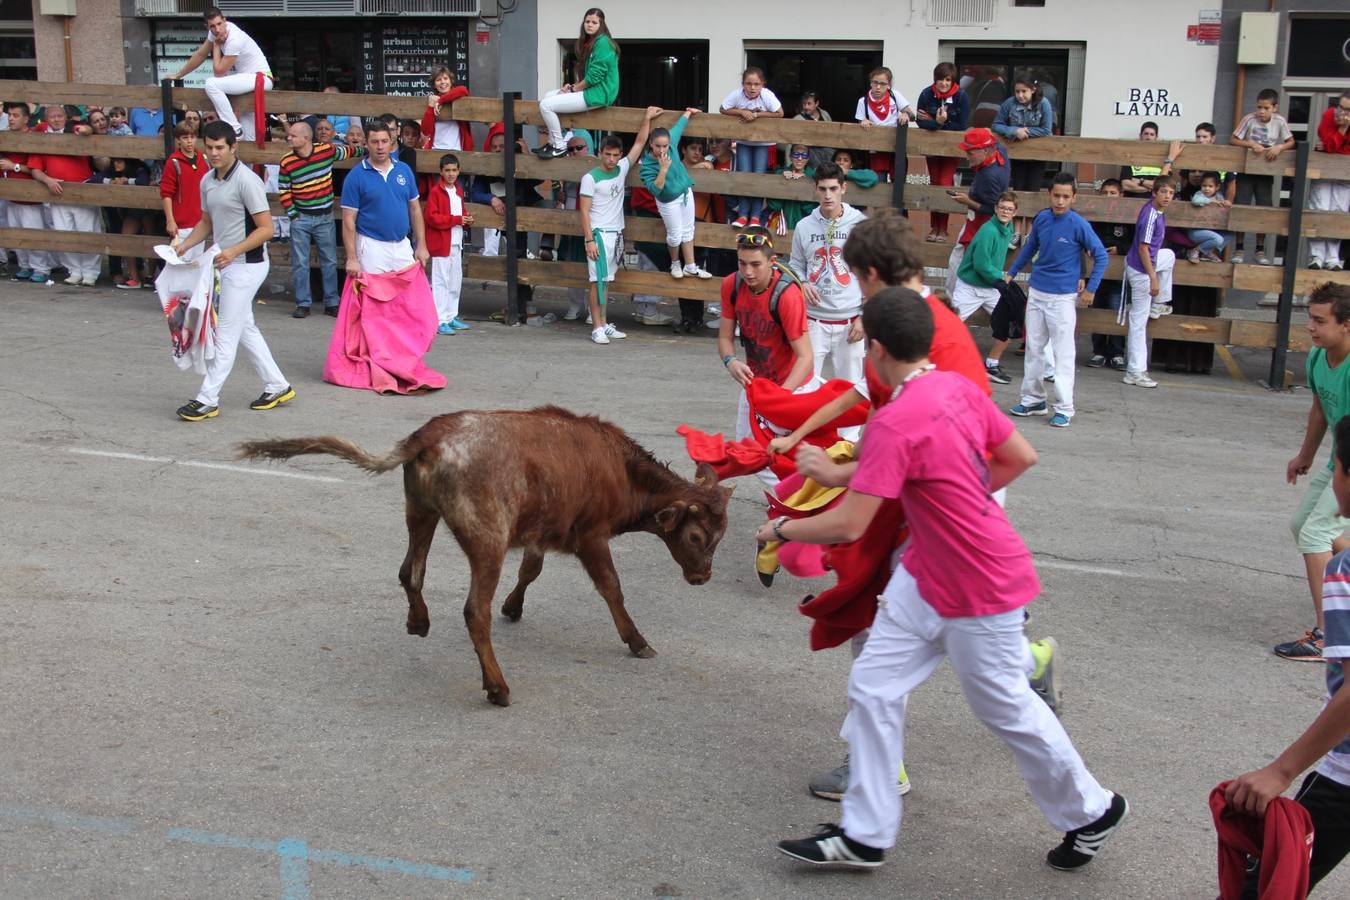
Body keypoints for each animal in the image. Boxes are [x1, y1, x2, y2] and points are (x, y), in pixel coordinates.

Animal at [237, 404, 734, 707]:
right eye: (696, 537)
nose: (702, 578)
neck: (620, 470)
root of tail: (428, 436)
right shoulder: (592, 536)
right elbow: (612, 588)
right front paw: (637, 641)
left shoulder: (538, 531)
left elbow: (532, 568)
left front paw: (515, 606)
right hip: (487, 541)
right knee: (475, 611)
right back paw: (497, 687)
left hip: (420, 512)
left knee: (410, 572)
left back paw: (419, 622)